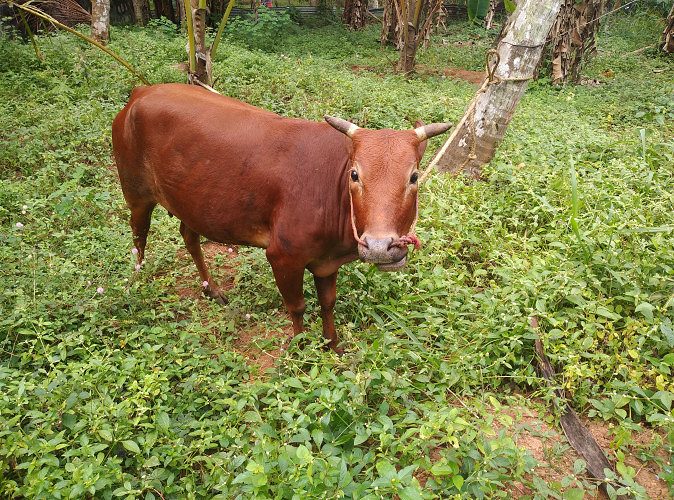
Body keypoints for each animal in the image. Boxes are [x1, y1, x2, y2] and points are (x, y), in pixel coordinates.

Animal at [112, 83, 450, 353]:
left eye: (414, 177)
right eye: (355, 175)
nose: (380, 247)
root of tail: (141, 92)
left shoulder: (326, 263)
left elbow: (328, 303)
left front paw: (333, 345)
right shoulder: (282, 256)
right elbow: (296, 306)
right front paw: (300, 348)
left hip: (190, 202)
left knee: (188, 235)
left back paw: (212, 289)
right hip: (136, 193)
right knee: (138, 234)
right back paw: (135, 284)